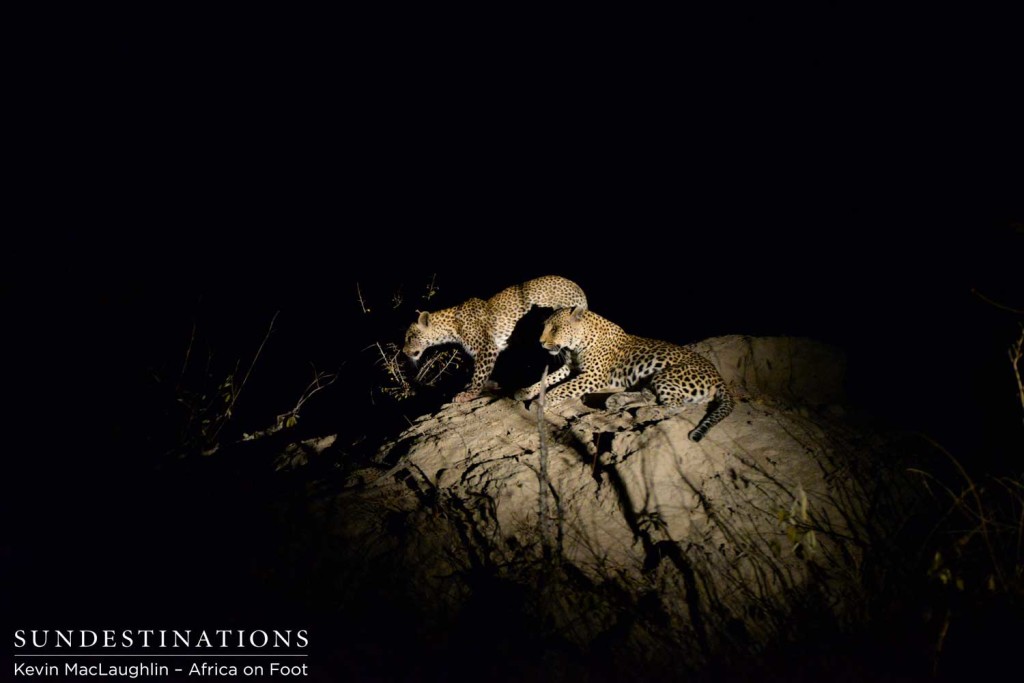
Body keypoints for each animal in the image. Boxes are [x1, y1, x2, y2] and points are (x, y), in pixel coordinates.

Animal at [403, 274, 589, 401]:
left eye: (410, 338)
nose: (404, 352)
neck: (451, 327)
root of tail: (578, 288)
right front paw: (489, 385)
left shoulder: (486, 348)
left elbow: (479, 374)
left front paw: (469, 394)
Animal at [524, 305, 733, 444]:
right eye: (545, 326)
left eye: (555, 328)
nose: (540, 342)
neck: (577, 344)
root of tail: (718, 375)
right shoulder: (570, 368)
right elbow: (549, 378)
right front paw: (526, 391)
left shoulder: (592, 375)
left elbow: (562, 387)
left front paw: (541, 402)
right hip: (653, 378)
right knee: (650, 395)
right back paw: (617, 401)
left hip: (667, 375)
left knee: (677, 405)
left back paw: (646, 412)